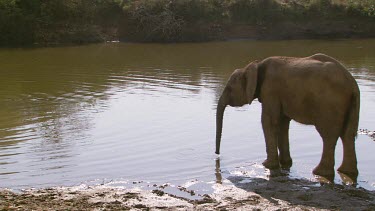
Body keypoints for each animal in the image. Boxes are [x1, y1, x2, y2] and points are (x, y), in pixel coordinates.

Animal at [217, 53, 362, 181]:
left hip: (330, 104)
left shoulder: (270, 90)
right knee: (347, 135)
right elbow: (282, 123)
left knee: (329, 136)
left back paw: (320, 173)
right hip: (351, 105)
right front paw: (285, 163)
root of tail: (353, 84)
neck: (255, 65)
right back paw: (346, 172)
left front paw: (267, 165)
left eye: (229, 88)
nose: (217, 155)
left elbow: (269, 121)